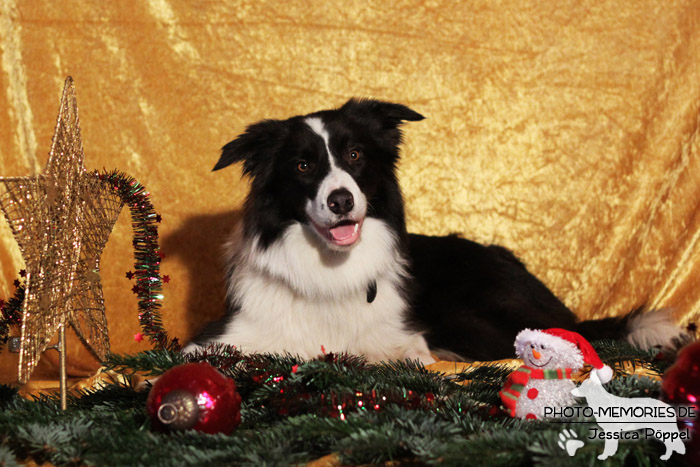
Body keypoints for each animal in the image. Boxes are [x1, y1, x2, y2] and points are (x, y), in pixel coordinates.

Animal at [186, 98, 680, 362]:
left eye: (355, 155)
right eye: (303, 165)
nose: (341, 200)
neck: (331, 271)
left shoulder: (406, 338)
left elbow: (400, 354)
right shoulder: (222, 337)